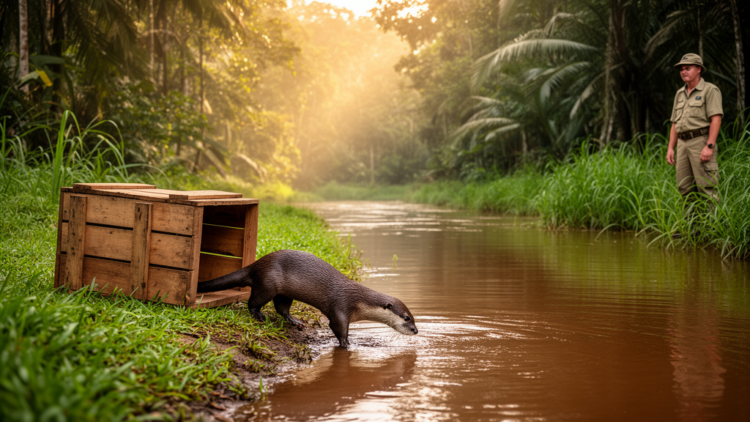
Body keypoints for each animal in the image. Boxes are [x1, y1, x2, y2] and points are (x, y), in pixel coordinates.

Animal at [197, 249, 418, 348]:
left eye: (414, 318)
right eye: (407, 318)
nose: (416, 330)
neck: (358, 300)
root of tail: (257, 264)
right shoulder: (341, 308)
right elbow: (337, 327)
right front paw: (346, 344)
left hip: (285, 293)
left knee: (282, 308)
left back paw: (296, 322)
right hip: (267, 284)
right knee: (253, 301)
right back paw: (259, 316)